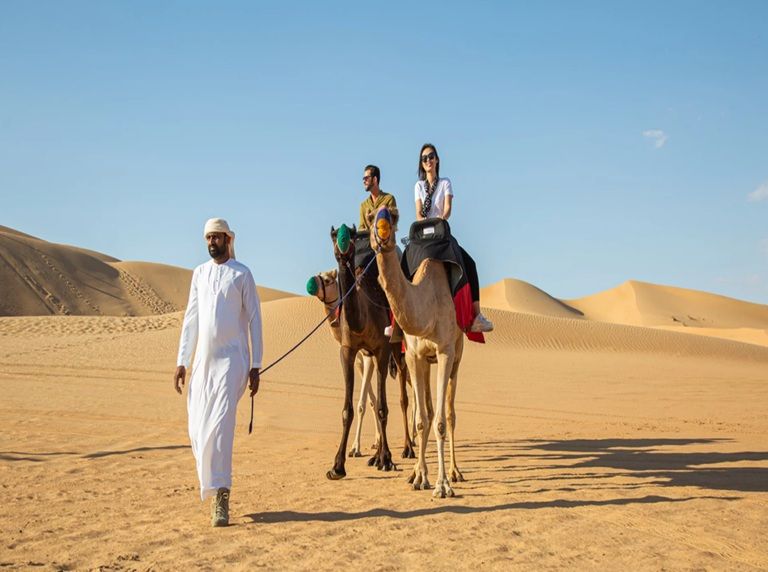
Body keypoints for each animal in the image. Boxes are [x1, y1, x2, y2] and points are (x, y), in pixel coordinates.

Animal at [368, 208, 464, 498]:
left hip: (458, 354)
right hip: (425, 363)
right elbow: (422, 419)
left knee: (450, 413)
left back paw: (455, 472)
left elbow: (441, 421)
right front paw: (420, 477)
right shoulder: (413, 356)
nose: (382, 229)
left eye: (393, 215)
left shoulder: (445, 352)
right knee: (430, 411)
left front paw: (442, 485)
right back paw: (416, 473)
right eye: (371, 218)